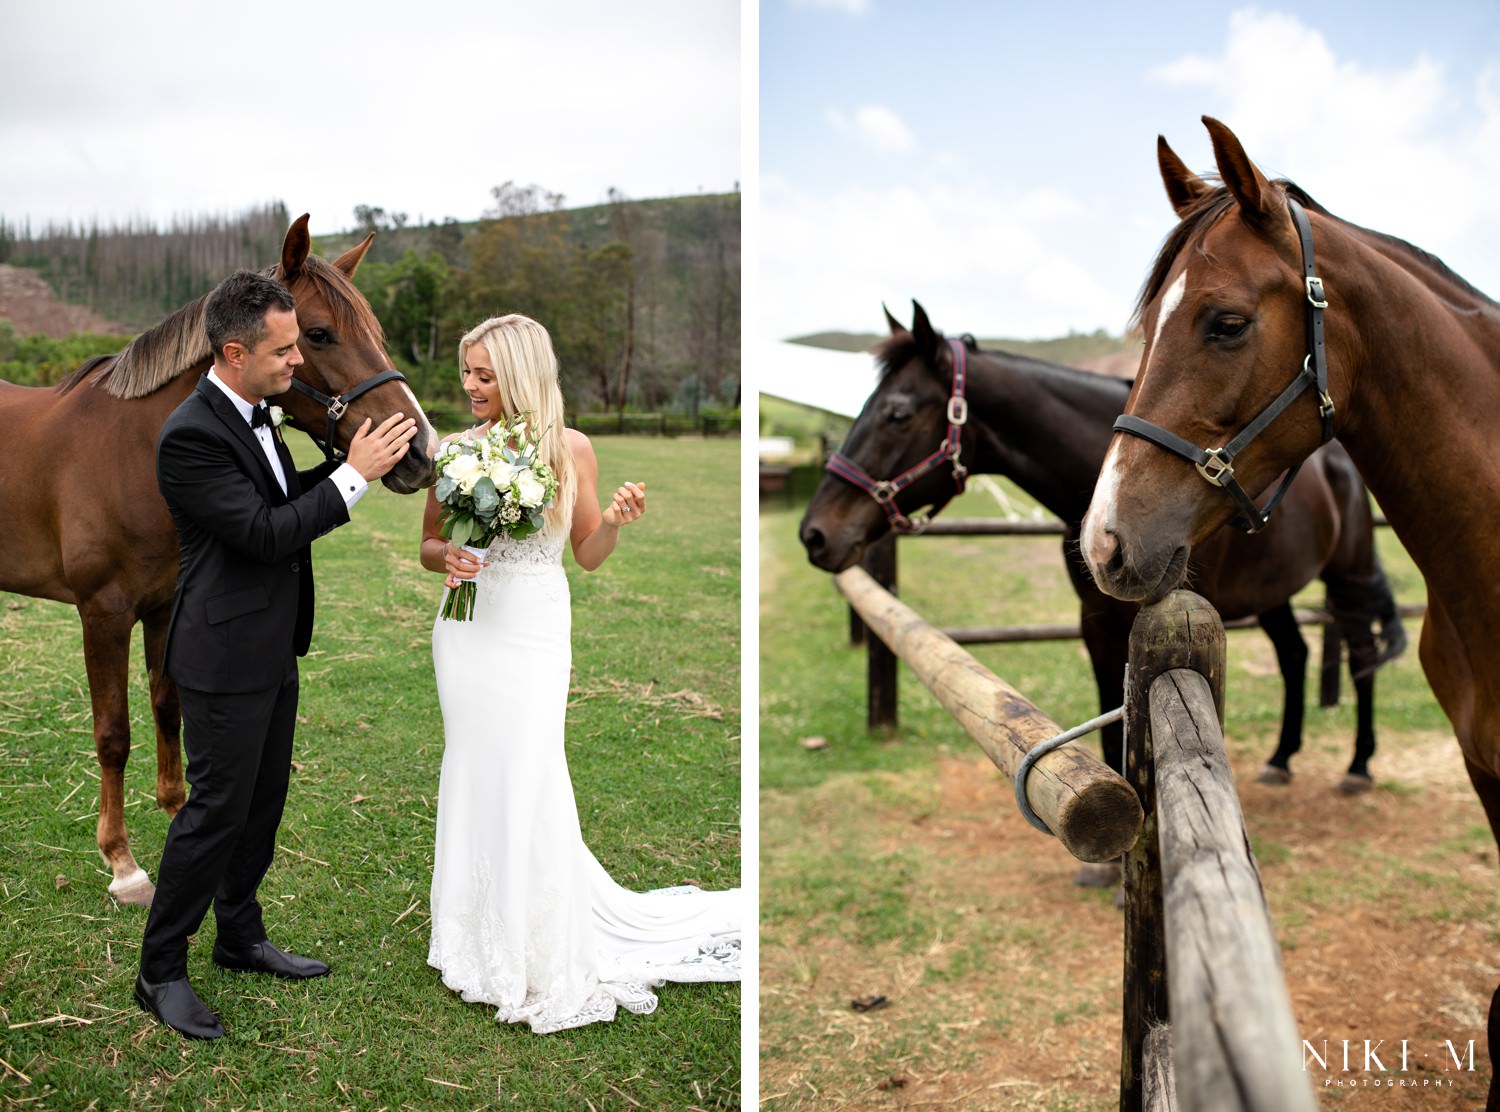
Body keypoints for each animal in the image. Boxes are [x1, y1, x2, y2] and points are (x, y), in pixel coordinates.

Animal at [2, 214, 438, 900]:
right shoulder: (103, 613)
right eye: (318, 333)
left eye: (380, 333)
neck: (133, 450)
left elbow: (169, 710)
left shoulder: (164, 608)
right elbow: (113, 734)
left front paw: (178, 813)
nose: (421, 450)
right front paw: (123, 864)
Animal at [804, 298, 1398, 792]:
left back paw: (1358, 766)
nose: (815, 532)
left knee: (1363, 655)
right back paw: (1280, 760)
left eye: (898, 413)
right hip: (1274, 593)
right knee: (1295, 655)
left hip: (1347, 574)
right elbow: (1114, 737)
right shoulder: (1097, 624)